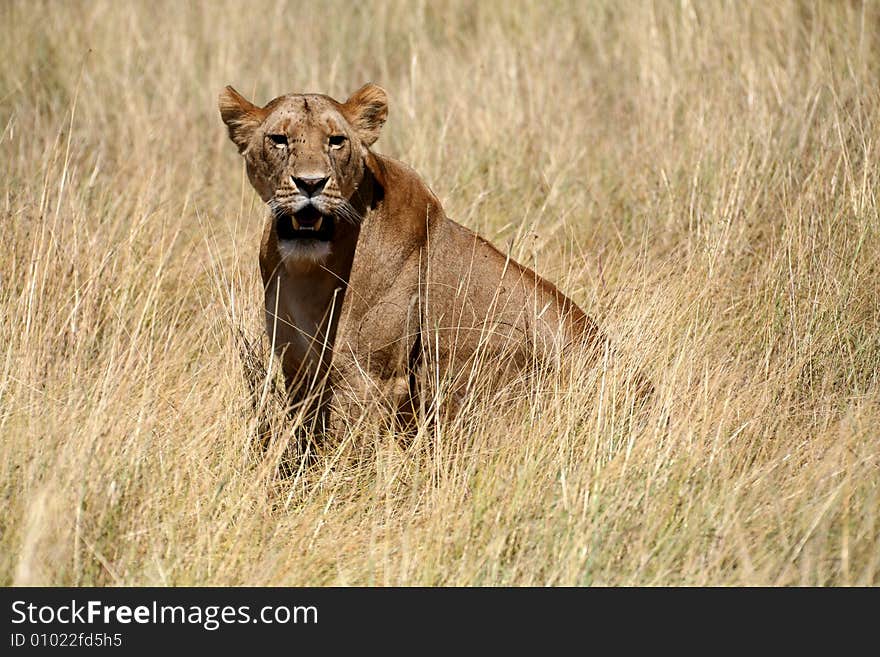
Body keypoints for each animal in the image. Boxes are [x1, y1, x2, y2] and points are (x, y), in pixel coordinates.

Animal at [218, 82, 632, 436]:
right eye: (279, 139)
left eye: (336, 142)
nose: (310, 183)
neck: (311, 272)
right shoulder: (298, 368)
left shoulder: (369, 375)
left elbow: (346, 448)